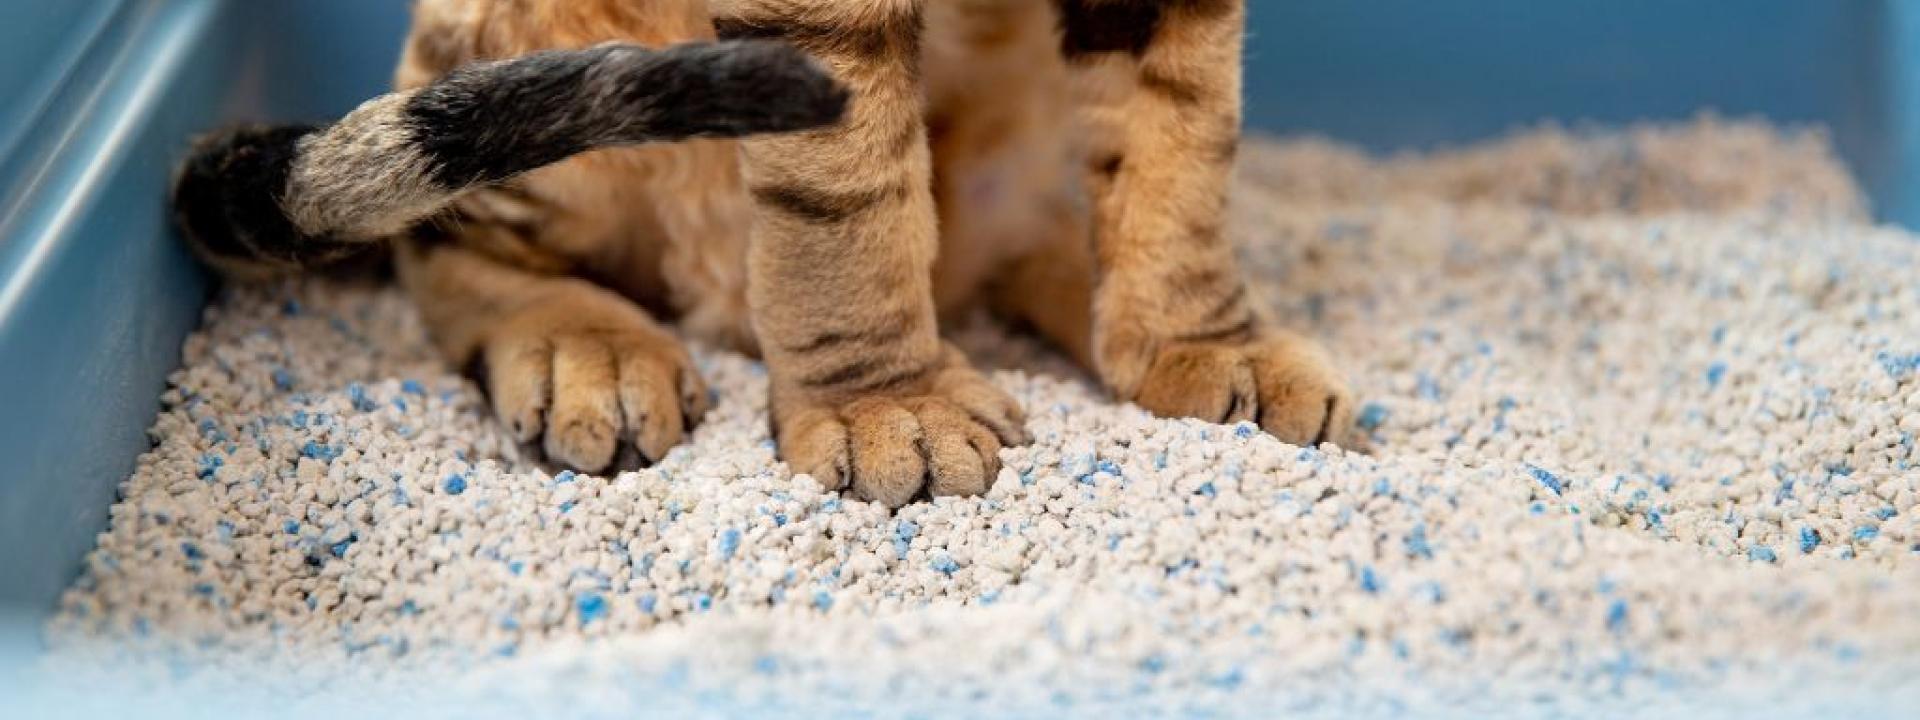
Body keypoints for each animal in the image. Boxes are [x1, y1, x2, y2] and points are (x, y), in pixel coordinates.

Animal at [176, 0, 1351, 510]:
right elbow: (846, 187)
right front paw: (889, 410)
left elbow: (1181, 128)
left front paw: (1208, 345)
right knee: (448, 233)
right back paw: (584, 347)